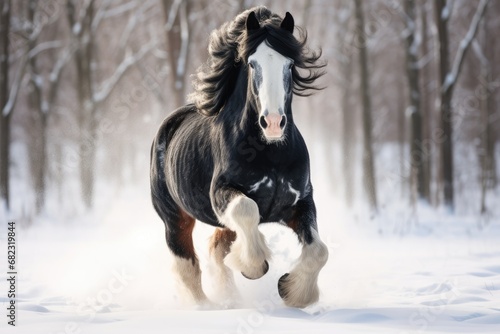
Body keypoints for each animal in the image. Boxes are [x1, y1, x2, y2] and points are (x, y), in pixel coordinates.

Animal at [148, 6, 328, 308]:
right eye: (252, 64)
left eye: (290, 65)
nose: (273, 123)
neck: (270, 153)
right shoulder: (223, 193)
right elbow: (247, 210)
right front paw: (254, 267)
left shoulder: (300, 201)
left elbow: (319, 251)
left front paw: (291, 291)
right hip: (174, 218)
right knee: (187, 266)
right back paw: (206, 307)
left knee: (216, 248)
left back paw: (230, 299)